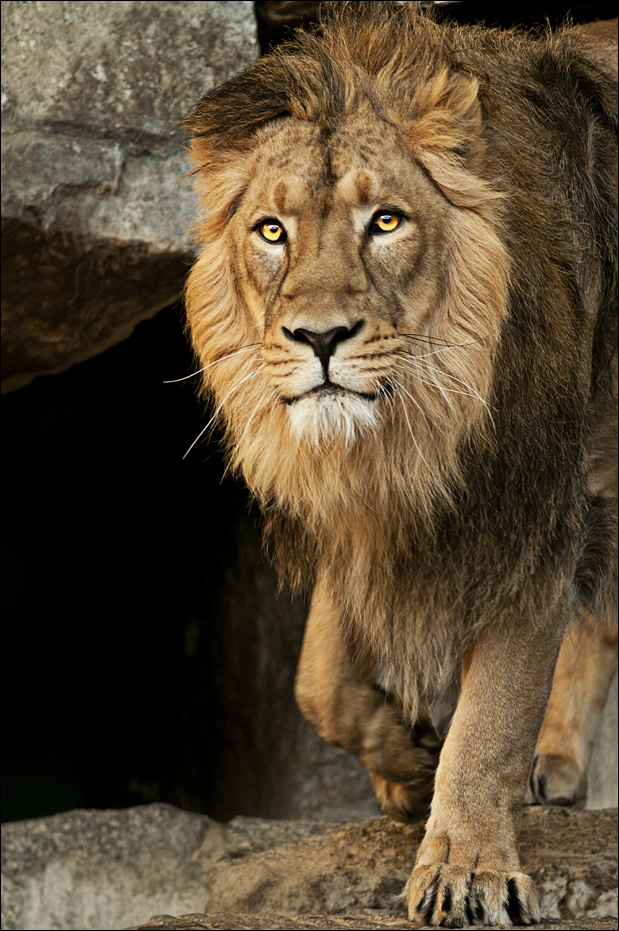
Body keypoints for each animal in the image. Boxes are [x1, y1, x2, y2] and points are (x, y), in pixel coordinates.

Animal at [181, 3, 617, 926]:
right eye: (271, 231)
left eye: (385, 221)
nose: (317, 337)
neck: (410, 427)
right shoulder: (363, 510)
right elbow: (319, 681)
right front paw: (404, 766)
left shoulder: (530, 508)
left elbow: (491, 713)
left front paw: (467, 865)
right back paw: (553, 763)